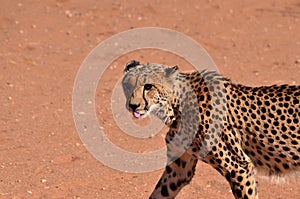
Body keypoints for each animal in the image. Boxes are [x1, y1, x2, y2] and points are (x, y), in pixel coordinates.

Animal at [120, 60, 298, 199]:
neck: (176, 106)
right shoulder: (179, 170)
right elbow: (160, 192)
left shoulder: (239, 167)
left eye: (148, 86)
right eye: (128, 85)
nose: (133, 105)